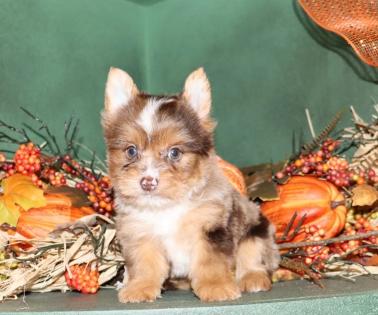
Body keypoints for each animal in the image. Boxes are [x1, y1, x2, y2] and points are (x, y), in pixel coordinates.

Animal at [102, 67, 280, 304]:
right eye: (131, 151)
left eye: (175, 152)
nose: (148, 182)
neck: (166, 207)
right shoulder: (139, 231)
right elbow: (144, 263)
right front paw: (140, 287)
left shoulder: (211, 226)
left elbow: (210, 261)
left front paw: (216, 287)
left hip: (256, 228)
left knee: (252, 253)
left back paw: (253, 278)